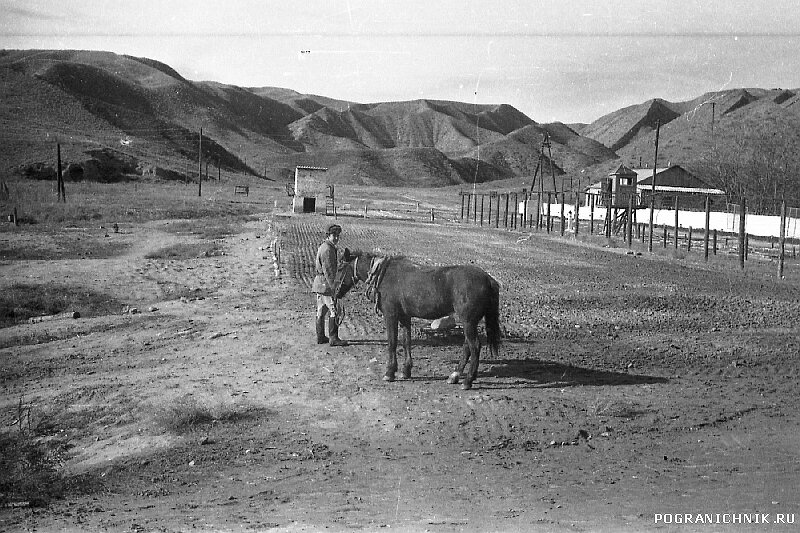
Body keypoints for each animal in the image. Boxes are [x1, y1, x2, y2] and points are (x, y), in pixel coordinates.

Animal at [336, 249, 500, 390]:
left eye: (340, 267)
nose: (334, 291)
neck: (385, 275)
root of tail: (488, 278)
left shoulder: (391, 315)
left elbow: (392, 343)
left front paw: (390, 372)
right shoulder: (405, 317)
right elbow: (406, 342)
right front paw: (406, 370)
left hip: (468, 322)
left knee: (474, 346)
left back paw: (467, 381)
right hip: (469, 323)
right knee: (467, 347)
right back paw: (455, 376)